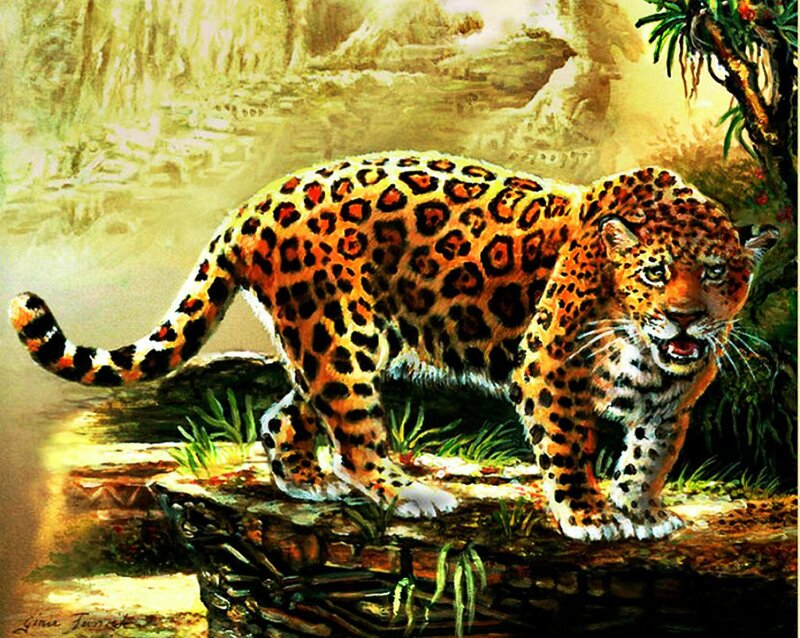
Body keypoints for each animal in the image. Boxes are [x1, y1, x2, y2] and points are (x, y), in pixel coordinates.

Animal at [10, 151, 777, 541]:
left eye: (716, 273)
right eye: (654, 274)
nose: (685, 320)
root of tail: (251, 205)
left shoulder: (673, 402)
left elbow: (650, 456)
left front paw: (642, 511)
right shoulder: (547, 369)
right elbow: (570, 447)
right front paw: (590, 516)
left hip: (329, 342)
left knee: (284, 415)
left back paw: (306, 481)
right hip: (339, 335)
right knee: (355, 438)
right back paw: (409, 494)